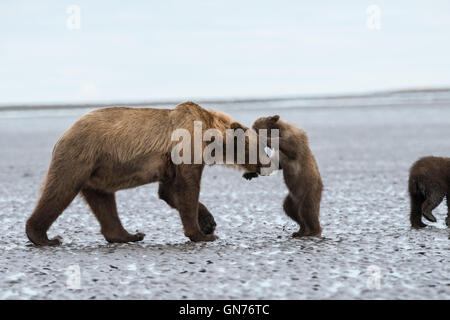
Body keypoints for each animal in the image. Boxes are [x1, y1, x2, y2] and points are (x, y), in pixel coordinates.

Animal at [26, 102, 266, 245]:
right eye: (260, 146)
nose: (264, 165)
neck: (210, 134)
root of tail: (64, 133)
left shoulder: (170, 166)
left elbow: (169, 192)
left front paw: (209, 223)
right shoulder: (185, 147)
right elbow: (186, 189)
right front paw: (202, 234)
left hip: (97, 172)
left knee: (103, 201)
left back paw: (129, 235)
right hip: (80, 156)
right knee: (60, 190)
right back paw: (45, 237)